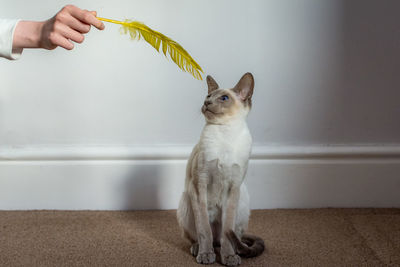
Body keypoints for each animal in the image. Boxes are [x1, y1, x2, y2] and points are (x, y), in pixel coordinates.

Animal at [177, 72, 264, 266]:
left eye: (224, 98)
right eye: (208, 96)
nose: (207, 102)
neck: (225, 133)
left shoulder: (233, 187)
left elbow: (227, 233)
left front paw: (229, 257)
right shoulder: (199, 185)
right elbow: (204, 230)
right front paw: (206, 255)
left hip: (242, 201)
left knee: (229, 237)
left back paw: (233, 252)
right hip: (186, 200)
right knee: (201, 237)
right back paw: (199, 250)